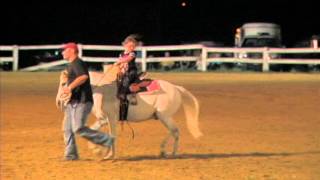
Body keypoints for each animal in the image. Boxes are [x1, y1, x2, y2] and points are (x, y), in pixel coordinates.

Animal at [56, 64, 202, 159]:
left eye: (63, 83)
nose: (58, 102)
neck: (102, 90)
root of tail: (176, 88)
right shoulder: (105, 119)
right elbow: (99, 131)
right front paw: (101, 151)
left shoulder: (109, 118)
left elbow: (111, 134)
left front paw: (106, 154)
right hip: (163, 117)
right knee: (174, 131)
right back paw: (165, 152)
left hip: (164, 116)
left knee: (175, 131)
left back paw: (170, 153)